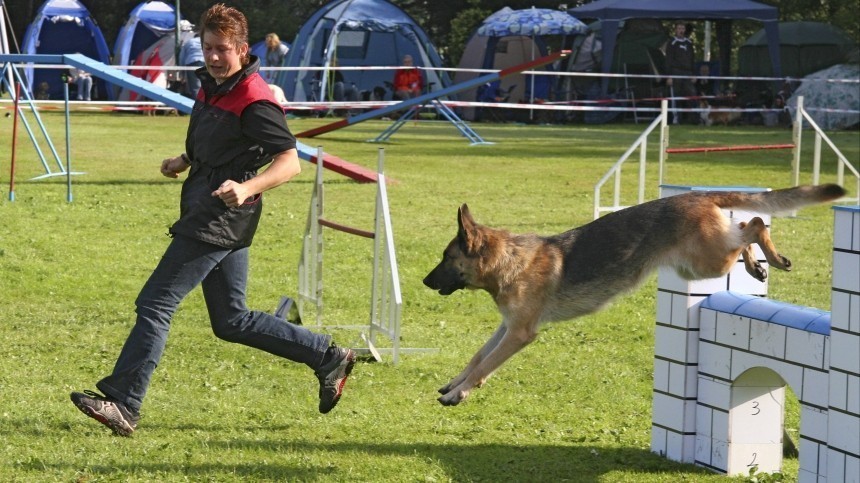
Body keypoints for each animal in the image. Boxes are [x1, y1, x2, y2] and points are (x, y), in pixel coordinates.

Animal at [424, 183, 848, 406]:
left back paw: (771, 258)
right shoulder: (506, 327)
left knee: (756, 222)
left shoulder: (519, 332)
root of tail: (698, 195)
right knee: (745, 226)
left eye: (445, 258)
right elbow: (478, 356)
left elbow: (486, 364)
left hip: (707, 261)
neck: (508, 260)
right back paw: (756, 265)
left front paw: (459, 393)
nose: (425, 281)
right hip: (701, 263)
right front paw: (455, 383)